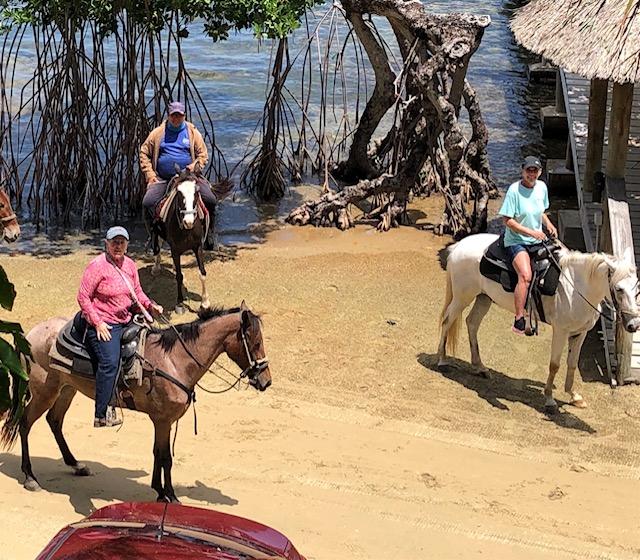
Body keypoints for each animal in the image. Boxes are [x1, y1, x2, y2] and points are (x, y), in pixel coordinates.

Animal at [0, 302, 270, 504]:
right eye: (255, 342)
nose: (266, 381)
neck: (174, 360)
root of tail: (31, 333)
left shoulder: (161, 420)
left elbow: (158, 453)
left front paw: (159, 491)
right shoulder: (162, 420)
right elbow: (165, 457)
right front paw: (170, 495)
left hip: (66, 389)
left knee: (54, 421)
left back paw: (76, 465)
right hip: (44, 391)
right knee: (25, 423)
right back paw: (30, 477)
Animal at [152, 166, 232, 316]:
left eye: (196, 192)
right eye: (179, 193)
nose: (188, 221)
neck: (187, 230)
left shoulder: (197, 246)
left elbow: (202, 273)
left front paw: (205, 303)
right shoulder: (175, 250)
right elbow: (179, 276)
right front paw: (179, 303)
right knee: (157, 244)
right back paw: (156, 267)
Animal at [438, 232, 640, 412]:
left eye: (637, 287)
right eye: (619, 289)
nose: (634, 325)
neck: (576, 287)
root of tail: (459, 246)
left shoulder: (580, 332)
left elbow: (572, 363)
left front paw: (574, 396)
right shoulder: (561, 331)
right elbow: (555, 365)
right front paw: (550, 400)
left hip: (483, 298)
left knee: (472, 323)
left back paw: (480, 367)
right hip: (462, 297)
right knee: (447, 321)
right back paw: (442, 361)